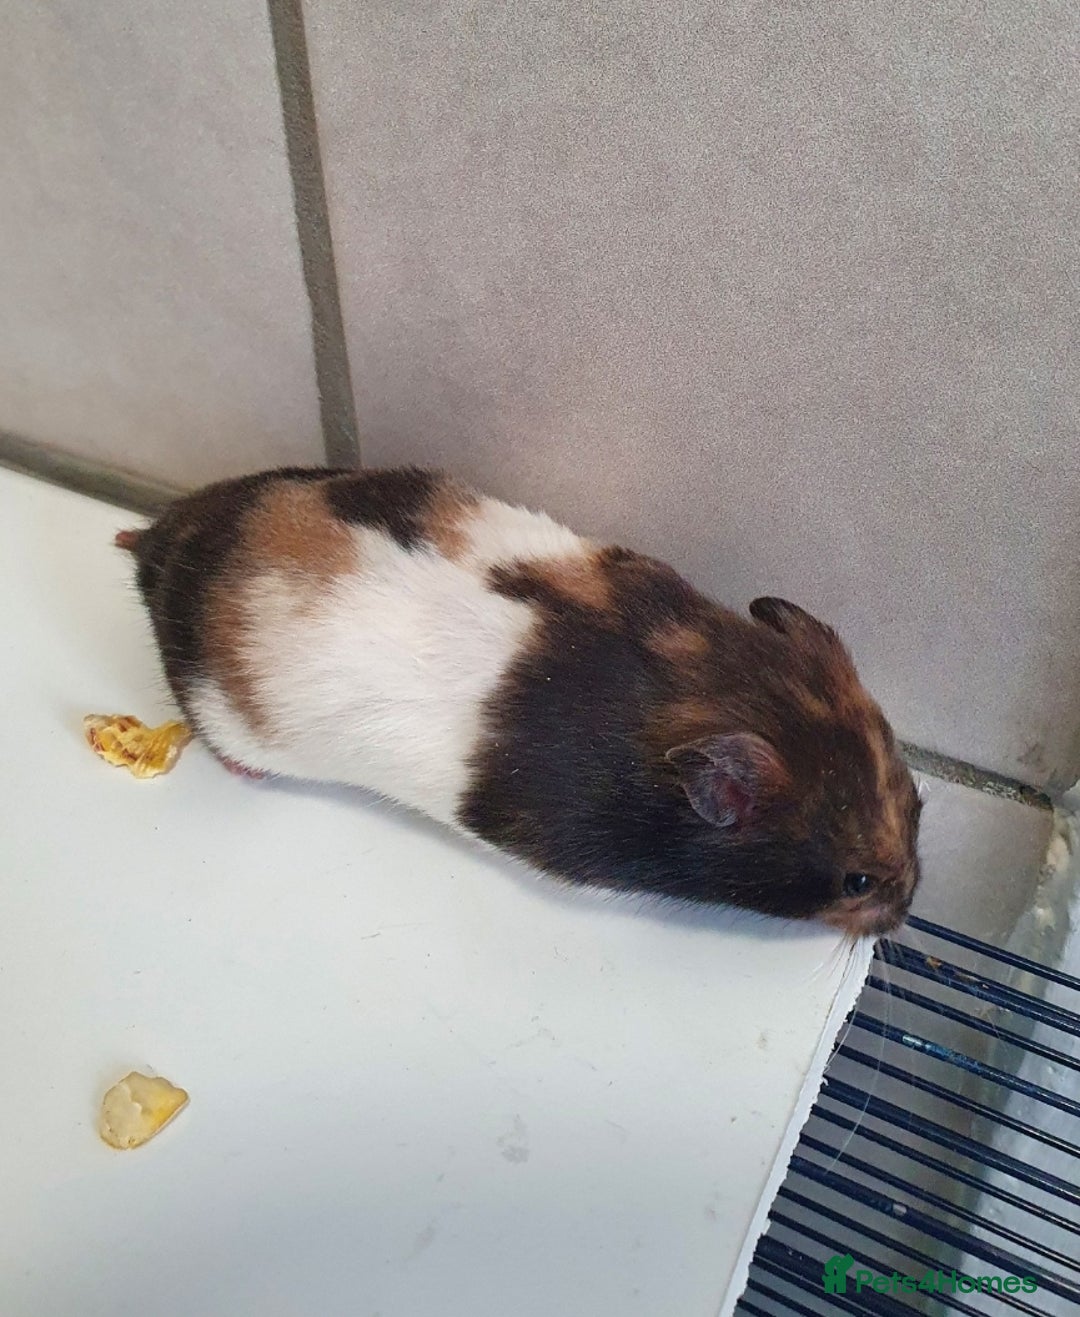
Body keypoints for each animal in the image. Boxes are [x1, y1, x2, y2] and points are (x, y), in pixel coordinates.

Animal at [117, 466, 922, 937]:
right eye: (857, 883)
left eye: (918, 801)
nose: (910, 903)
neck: (710, 691)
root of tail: (157, 539)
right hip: (227, 710)